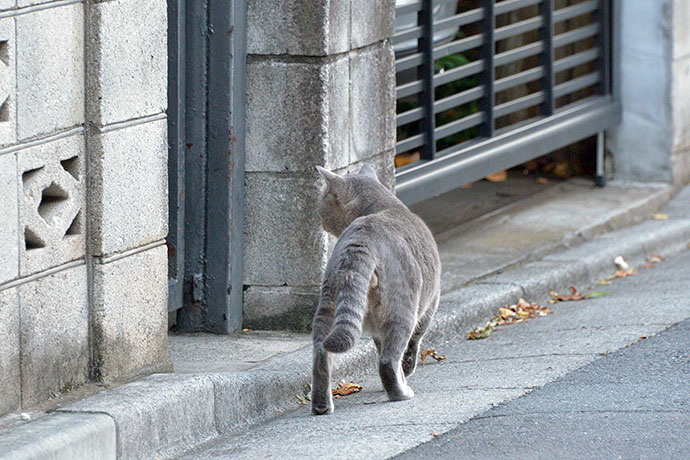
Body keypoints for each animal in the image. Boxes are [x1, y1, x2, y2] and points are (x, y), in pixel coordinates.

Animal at [310, 164, 438, 416]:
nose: (318, 215)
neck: (385, 205)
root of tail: (360, 240)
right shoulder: (430, 304)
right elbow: (413, 344)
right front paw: (406, 371)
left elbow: (381, 346)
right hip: (403, 308)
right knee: (388, 359)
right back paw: (401, 393)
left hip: (328, 303)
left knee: (321, 354)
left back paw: (322, 406)